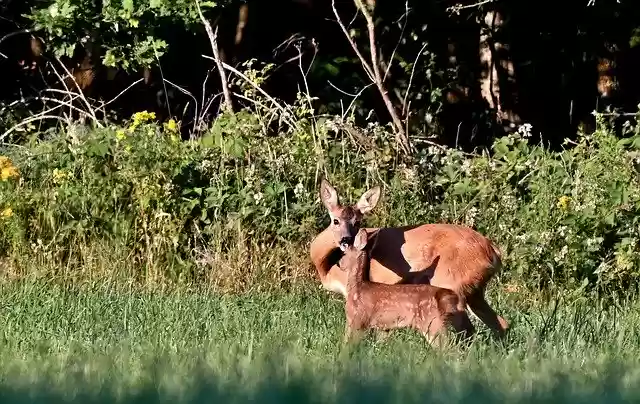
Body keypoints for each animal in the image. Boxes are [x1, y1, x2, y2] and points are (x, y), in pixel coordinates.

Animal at [341, 228, 475, 347]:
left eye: (344, 253)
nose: (340, 264)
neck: (357, 288)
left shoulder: (357, 319)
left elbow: (347, 345)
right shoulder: (383, 327)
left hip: (434, 324)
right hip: (456, 324)